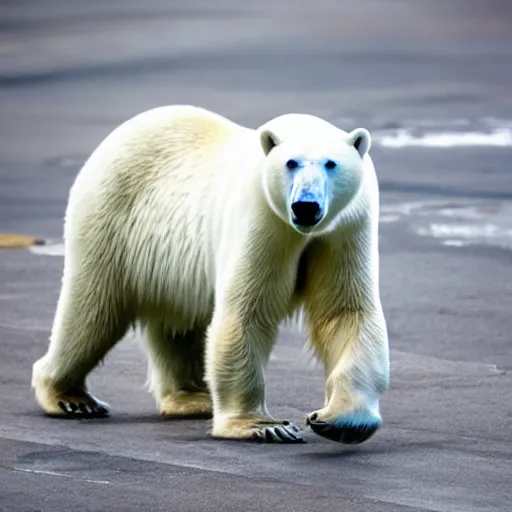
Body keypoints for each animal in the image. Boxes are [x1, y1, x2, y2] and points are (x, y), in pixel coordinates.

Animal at [31, 105, 388, 444]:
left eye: (331, 163)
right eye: (291, 163)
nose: (305, 206)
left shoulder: (346, 227)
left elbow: (345, 312)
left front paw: (339, 421)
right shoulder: (261, 219)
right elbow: (245, 313)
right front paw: (265, 426)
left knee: (178, 324)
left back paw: (192, 398)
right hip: (111, 219)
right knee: (92, 311)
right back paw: (72, 398)